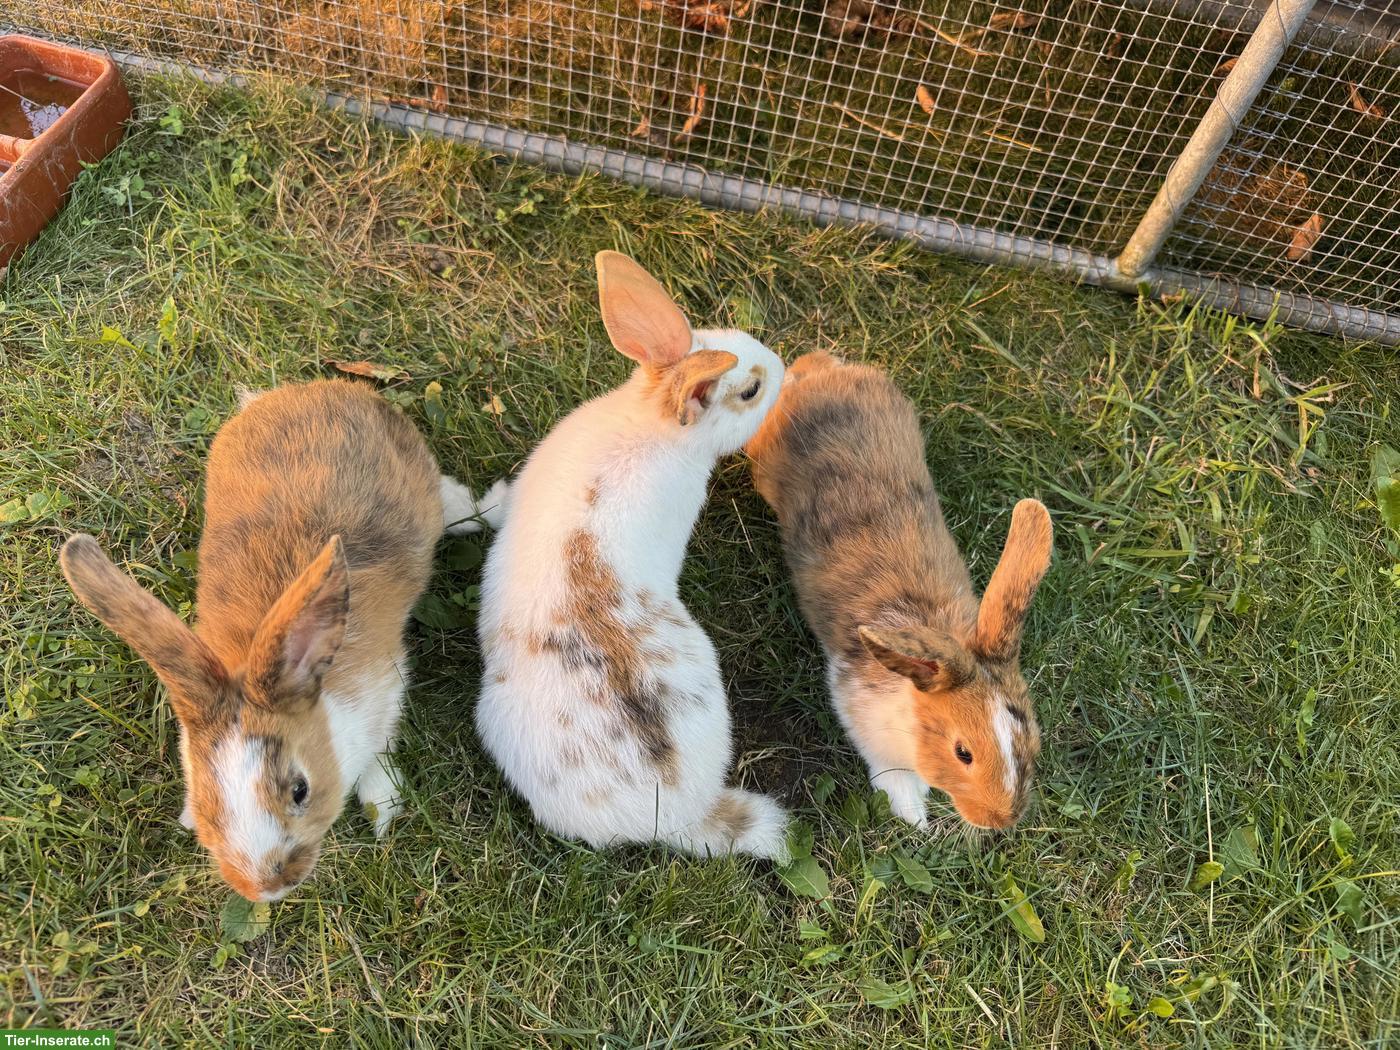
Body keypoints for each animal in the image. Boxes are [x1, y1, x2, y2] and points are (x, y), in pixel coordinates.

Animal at [60, 378, 500, 901]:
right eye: (207, 804)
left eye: (299, 791)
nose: (267, 887)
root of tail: (322, 390)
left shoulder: (387, 691)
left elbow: (382, 751)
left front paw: (383, 809)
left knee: (460, 504)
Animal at [746, 352, 1052, 831]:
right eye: (963, 753)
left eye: (1033, 737)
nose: (1000, 821)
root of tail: (824, 371)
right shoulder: (857, 709)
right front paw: (913, 815)